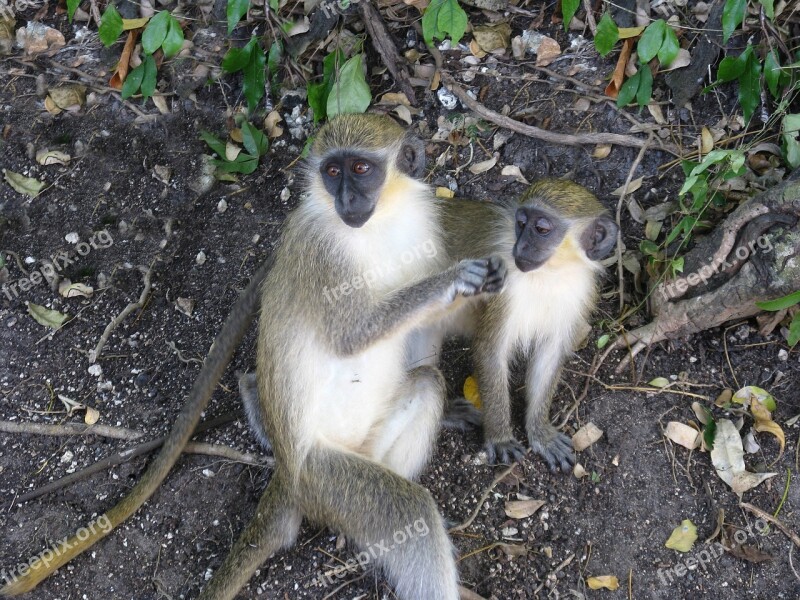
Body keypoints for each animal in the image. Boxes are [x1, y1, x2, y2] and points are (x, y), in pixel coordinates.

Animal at [0, 113, 504, 600]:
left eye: (361, 169)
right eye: (332, 172)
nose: (345, 198)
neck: (381, 222)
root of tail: (287, 474)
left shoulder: (425, 228)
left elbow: (422, 333)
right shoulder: (321, 253)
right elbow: (349, 335)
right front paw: (454, 280)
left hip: (363, 450)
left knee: (426, 380)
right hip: (323, 478)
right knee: (408, 510)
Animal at [440, 180, 616, 472]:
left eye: (542, 229)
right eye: (520, 223)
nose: (520, 248)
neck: (549, 275)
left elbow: (550, 354)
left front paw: (540, 432)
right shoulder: (501, 286)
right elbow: (490, 350)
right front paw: (500, 437)